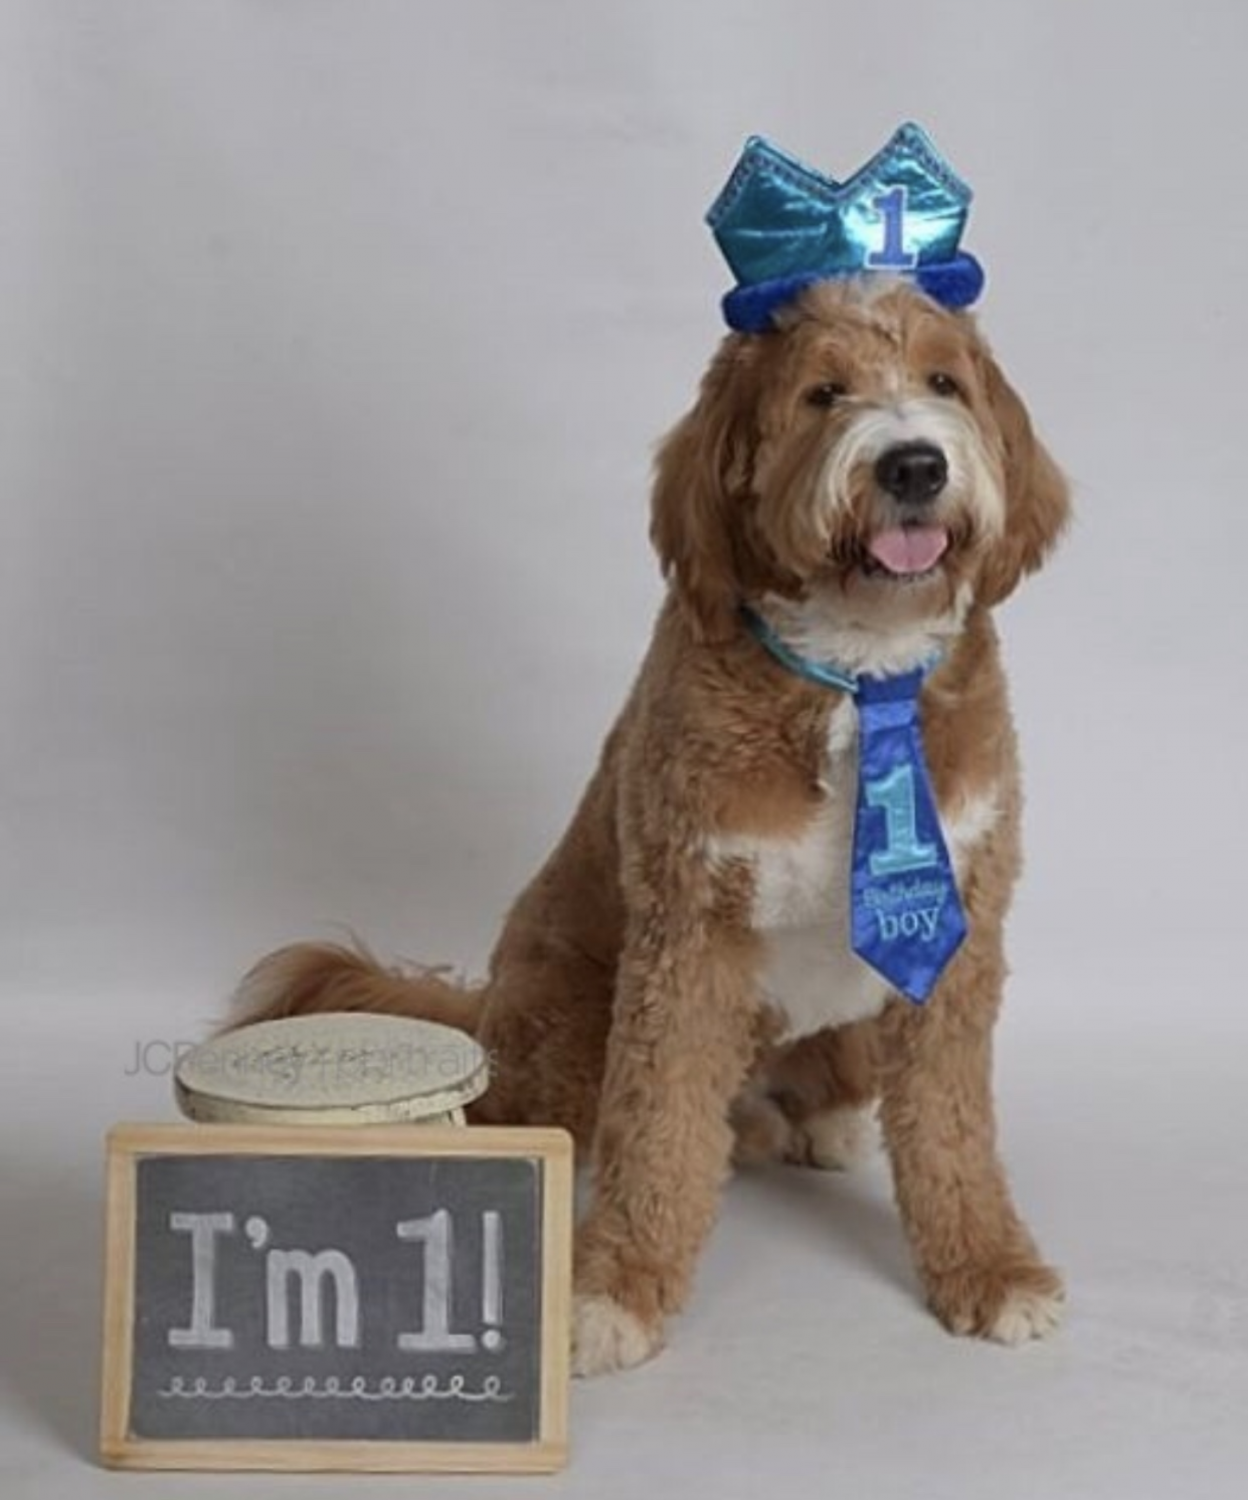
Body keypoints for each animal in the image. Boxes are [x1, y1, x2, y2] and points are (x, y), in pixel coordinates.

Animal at [234, 276, 1074, 1374]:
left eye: (944, 383)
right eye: (823, 393)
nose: (914, 464)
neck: (854, 675)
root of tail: (486, 1008)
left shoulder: (954, 938)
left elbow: (950, 1126)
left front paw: (990, 1268)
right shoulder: (689, 938)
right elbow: (659, 1127)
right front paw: (613, 1290)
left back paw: (825, 1123)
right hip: (566, 1015)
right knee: (563, 1116)